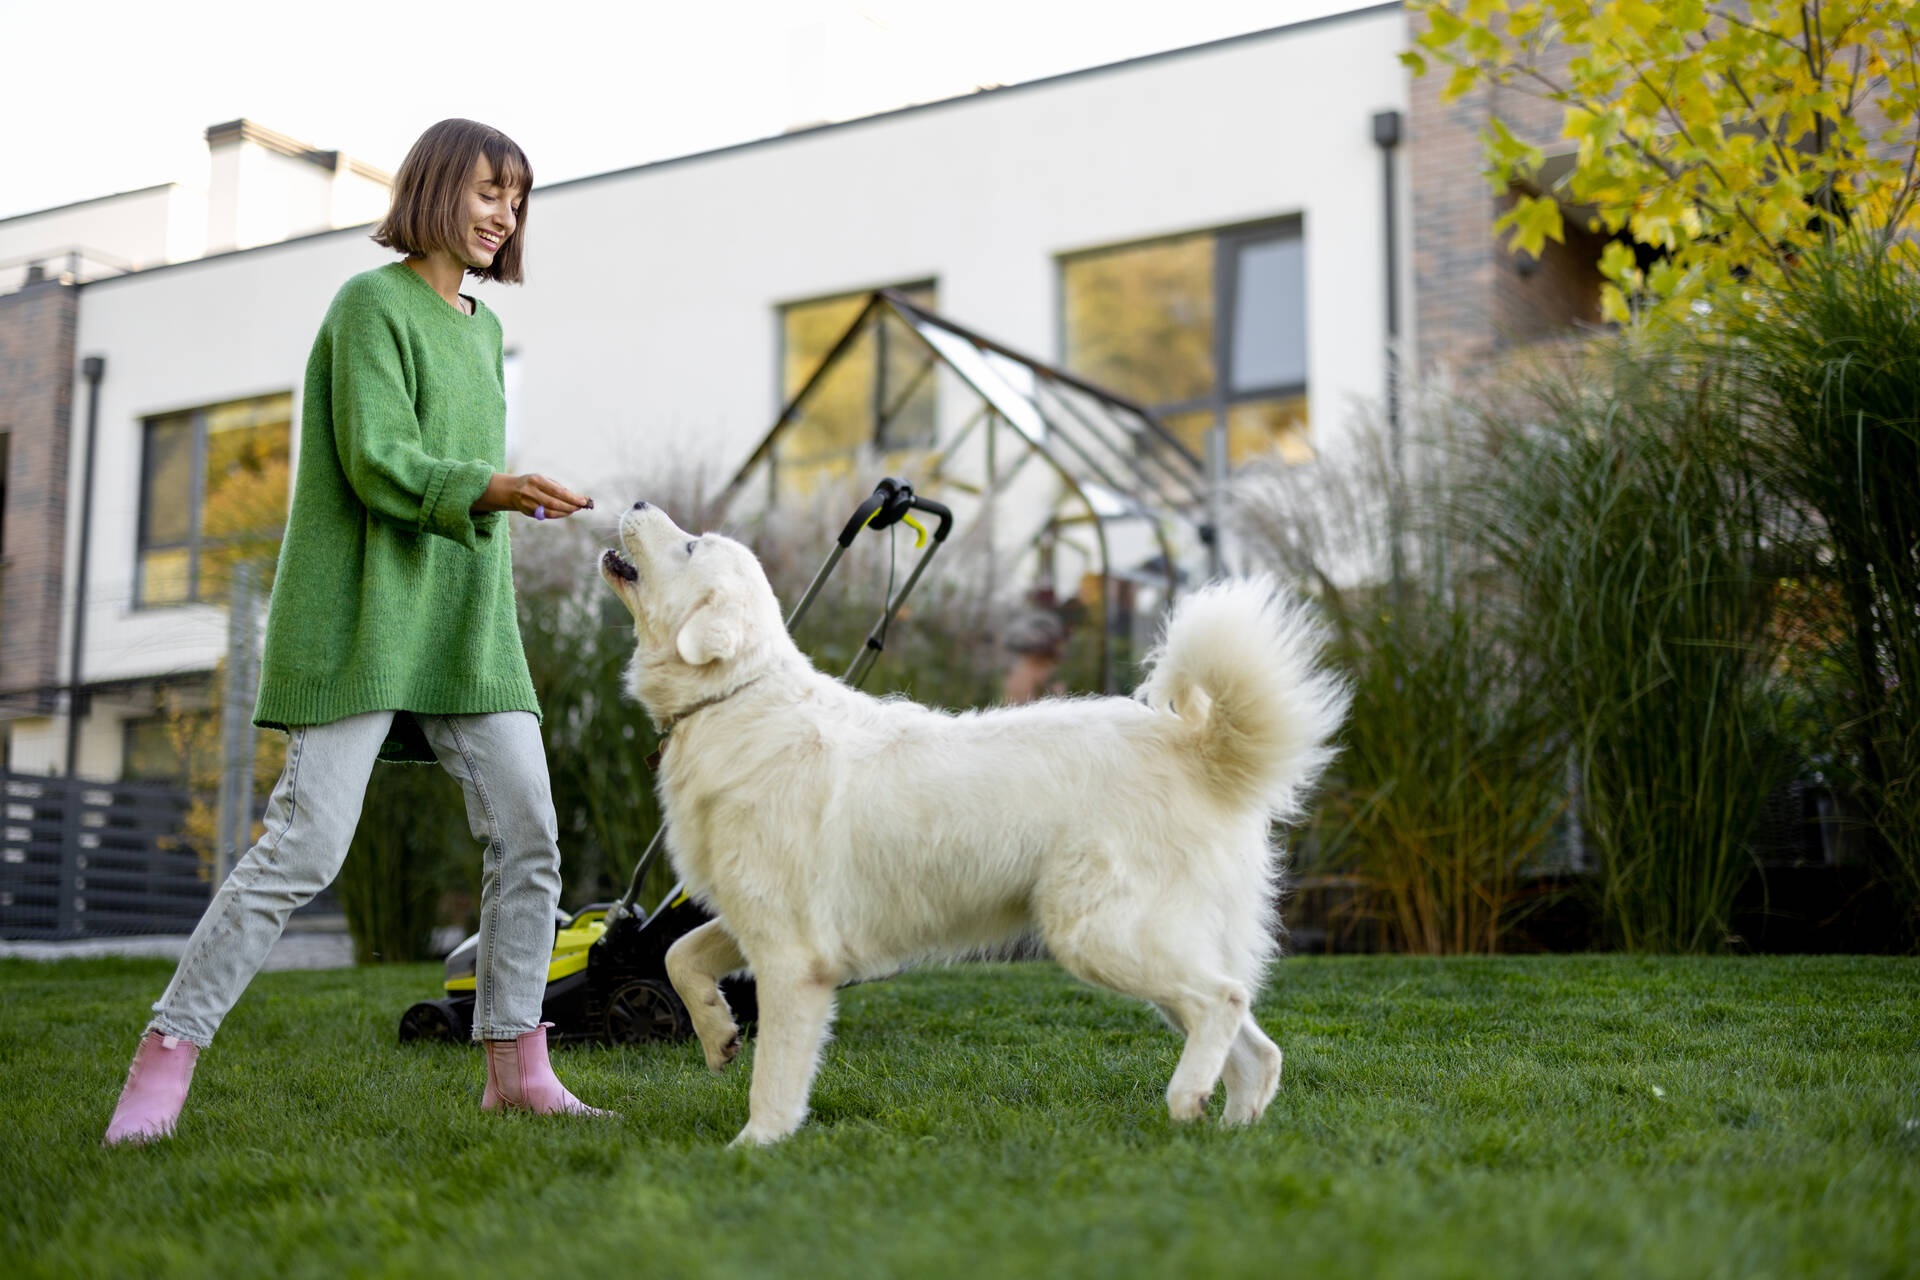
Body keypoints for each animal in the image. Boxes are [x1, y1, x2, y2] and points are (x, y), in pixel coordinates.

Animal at [599, 502, 1351, 1151]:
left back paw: (1186, 1098)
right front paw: (717, 1034)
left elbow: (774, 1076)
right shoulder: (754, 920)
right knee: (1257, 1047)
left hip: (1099, 936)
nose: (635, 502)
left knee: (1224, 1001)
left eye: (690, 546)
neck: (732, 698)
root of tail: (1196, 746)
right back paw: (1227, 1134)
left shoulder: (793, 958)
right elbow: (679, 956)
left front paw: (755, 1148)